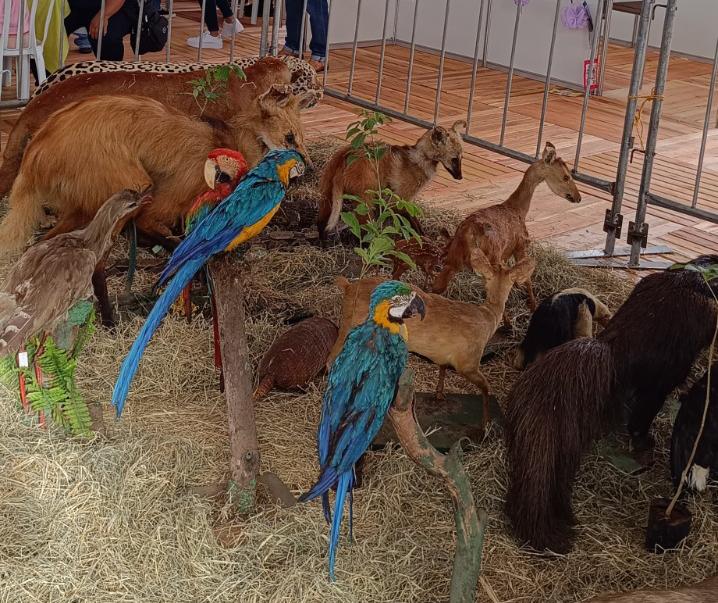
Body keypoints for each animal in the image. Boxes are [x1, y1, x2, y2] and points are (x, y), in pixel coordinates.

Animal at [0, 85, 312, 252]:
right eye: (290, 138)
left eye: (301, 138)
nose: (309, 167)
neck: (230, 143)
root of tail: (35, 150)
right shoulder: (173, 194)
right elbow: (156, 226)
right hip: (133, 184)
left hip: (83, 203)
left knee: (43, 242)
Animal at [316, 118, 466, 241]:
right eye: (454, 159)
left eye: (461, 158)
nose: (460, 177)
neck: (420, 159)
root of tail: (345, 155)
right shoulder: (400, 199)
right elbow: (412, 224)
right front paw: (424, 240)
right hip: (366, 197)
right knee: (365, 227)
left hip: (327, 192)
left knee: (322, 221)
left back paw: (322, 243)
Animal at [330, 250, 536, 430]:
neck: (488, 318)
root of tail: (348, 287)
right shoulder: (468, 362)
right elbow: (486, 388)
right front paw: (486, 424)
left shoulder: (445, 356)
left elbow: (442, 369)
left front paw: (439, 395)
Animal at [434, 143, 580, 326]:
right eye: (566, 176)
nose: (578, 197)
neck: (518, 209)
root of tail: (469, 233)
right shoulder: (520, 246)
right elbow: (528, 278)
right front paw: (533, 305)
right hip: (491, 257)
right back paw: (508, 322)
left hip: (453, 258)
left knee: (436, 286)